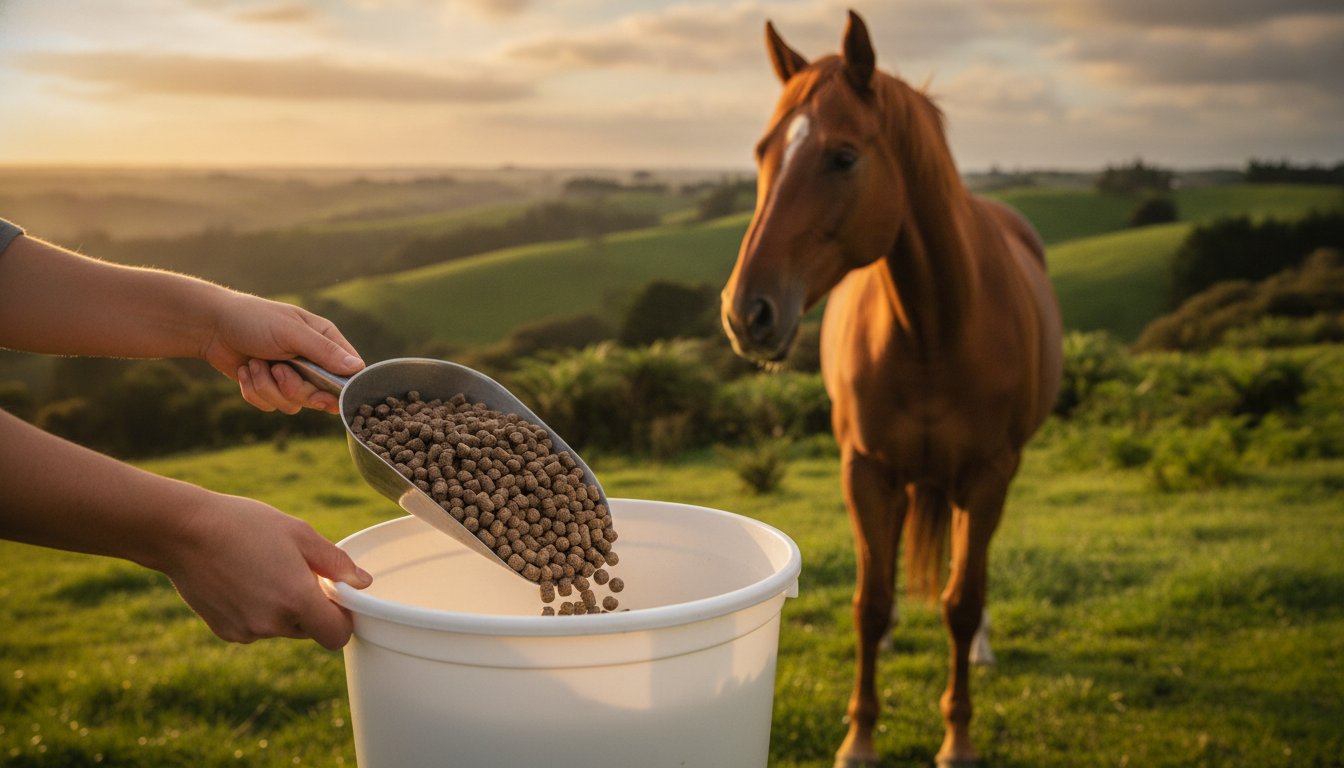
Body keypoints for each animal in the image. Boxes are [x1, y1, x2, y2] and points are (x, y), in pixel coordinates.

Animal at [720, 11, 1063, 767]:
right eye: (761, 151)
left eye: (844, 157)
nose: (745, 313)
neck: (932, 331)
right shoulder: (866, 470)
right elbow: (868, 603)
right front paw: (859, 737)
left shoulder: (988, 474)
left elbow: (962, 602)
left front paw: (957, 737)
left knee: (968, 572)